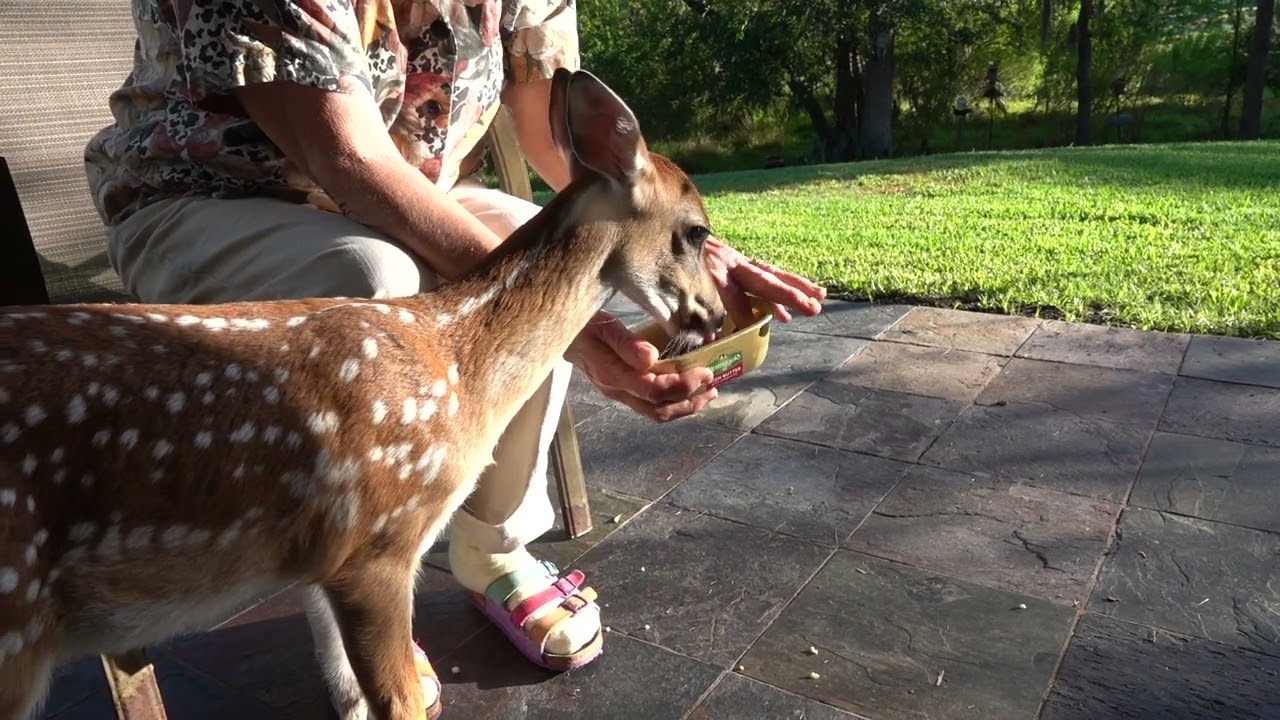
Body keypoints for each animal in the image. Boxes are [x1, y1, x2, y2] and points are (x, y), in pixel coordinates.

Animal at [0, 67, 725, 720]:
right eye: (695, 230)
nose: (717, 315)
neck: (454, 363)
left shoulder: (328, 561)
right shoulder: (375, 543)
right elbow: (400, 701)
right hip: (16, 616)